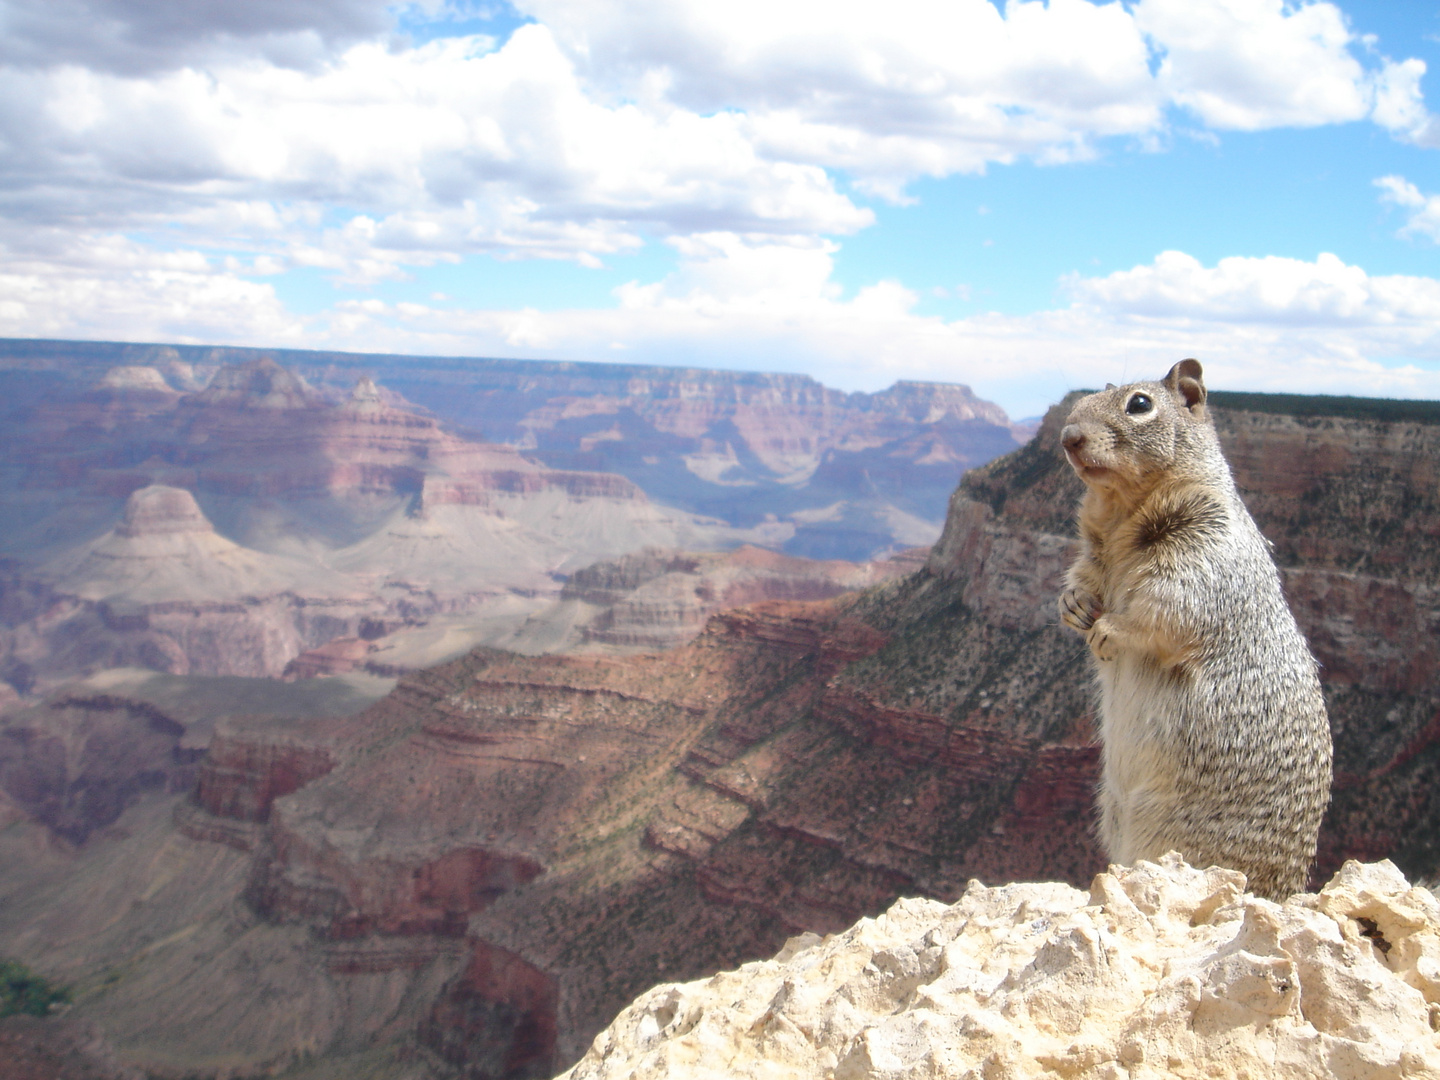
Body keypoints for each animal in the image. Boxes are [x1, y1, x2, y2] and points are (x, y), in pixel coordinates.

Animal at [1059, 360, 1324, 898]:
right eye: (1082, 400)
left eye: (1139, 404)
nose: (1068, 436)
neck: (1121, 514)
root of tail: (1287, 889)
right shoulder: (1095, 554)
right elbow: (1084, 578)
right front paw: (1074, 606)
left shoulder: (1203, 549)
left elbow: (1167, 611)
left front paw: (1110, 631)